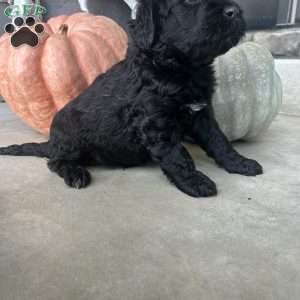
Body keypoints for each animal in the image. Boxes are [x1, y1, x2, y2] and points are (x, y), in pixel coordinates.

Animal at [0, 0, 262, 197]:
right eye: (188, 1)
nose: (235, 11)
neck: (180, 66)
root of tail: (52, 142)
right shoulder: (155, 123)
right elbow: (178, 155)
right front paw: (195, 181)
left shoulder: (202, 113)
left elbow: (219, 140)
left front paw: (240, 163)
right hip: (71, 137)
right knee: (55, 161)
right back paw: (75, 173)